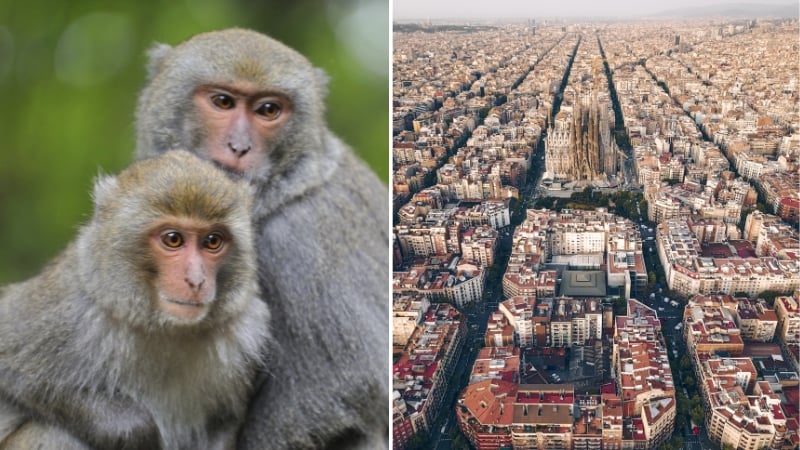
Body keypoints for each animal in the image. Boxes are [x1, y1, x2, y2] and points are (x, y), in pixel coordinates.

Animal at [0, 150, 270, 450]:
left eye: (213, 241)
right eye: (173, 239)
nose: (196, 281)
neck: (165, 328)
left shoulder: (247, 335)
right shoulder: (66, 311)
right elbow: (10, 369)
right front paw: (130, 428)